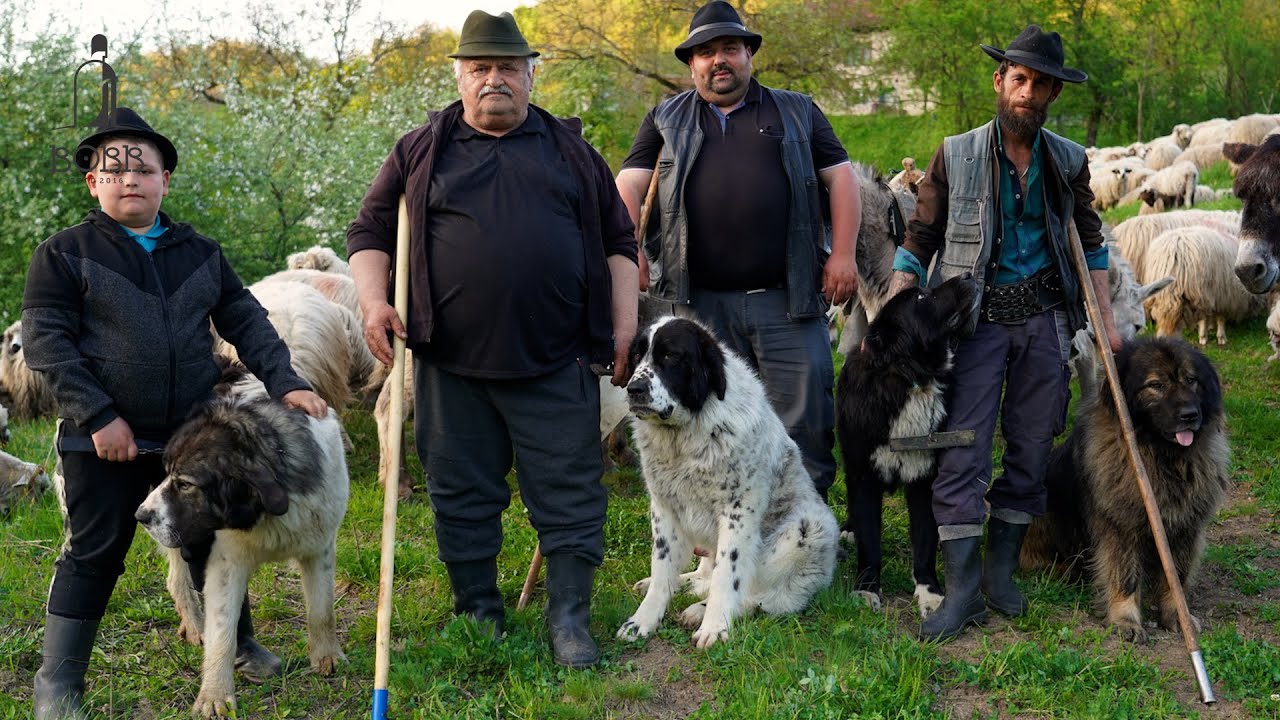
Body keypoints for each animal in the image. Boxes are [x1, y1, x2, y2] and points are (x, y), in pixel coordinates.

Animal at [133, 366, 350, 712]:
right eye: (167, 473)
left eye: (185, 484)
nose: (141, 515)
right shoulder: (226, 563)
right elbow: (223, 631)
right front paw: (215, 695)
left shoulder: (319, 548)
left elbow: (321, 609)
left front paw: (327, 655)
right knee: (178, 579)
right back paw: (195, 626)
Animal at [611, 316, 834, 648]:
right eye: (637, 355)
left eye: (670, 356)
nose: (634, 388)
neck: (685, 437)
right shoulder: (664, 508)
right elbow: (662, 567)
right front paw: (643, 620)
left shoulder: (737, 513)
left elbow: (728, 574)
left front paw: (714, 627)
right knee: (705, 572)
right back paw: (686, 585)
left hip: (809, 528)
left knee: (759, 596)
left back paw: (699, 609)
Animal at [839, 271, 977, 614]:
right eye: (921, 298)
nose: (968, 274)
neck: (909, 379)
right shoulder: (864, 475)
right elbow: (870, 540)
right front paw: (866, 589)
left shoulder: (924, 478)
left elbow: (924, 541)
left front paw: (930, 592)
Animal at [1018, 335, 1228, 638]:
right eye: (1156, 385)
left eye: (1191, 381)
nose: (1190, 415)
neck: (1160, 456)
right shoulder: (1120, 528)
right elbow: (1125, 575)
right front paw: (1125, 620)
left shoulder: (1184, 528)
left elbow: (1175, 576)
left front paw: (1178, 616)